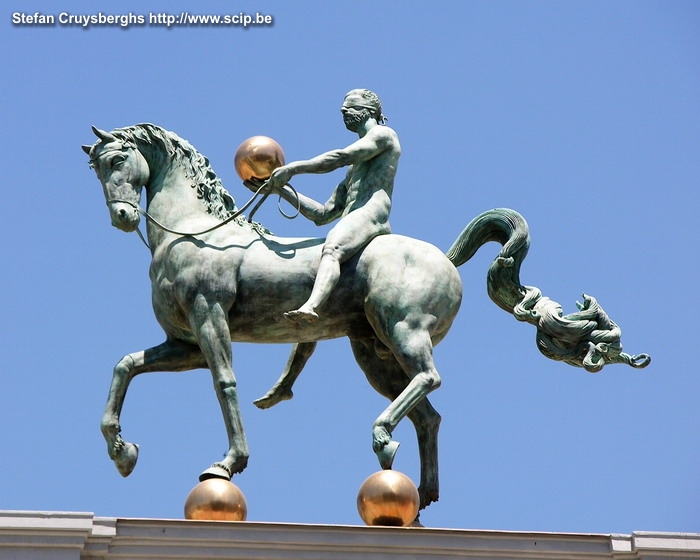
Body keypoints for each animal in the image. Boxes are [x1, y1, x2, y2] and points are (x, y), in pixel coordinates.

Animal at [83, 124, 652, 516]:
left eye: (119, 158)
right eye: (96, 168)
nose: (122, 217)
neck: (193, 231)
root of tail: (447, 258)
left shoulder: (209, 318)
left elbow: (224, 383)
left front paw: (227, 462)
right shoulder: (182, 343)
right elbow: (125, 365)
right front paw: (122, 451)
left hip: (401, 331)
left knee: (430, 379)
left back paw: (382, 435)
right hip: (373, 351)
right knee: (429, 414)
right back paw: (421, 495)